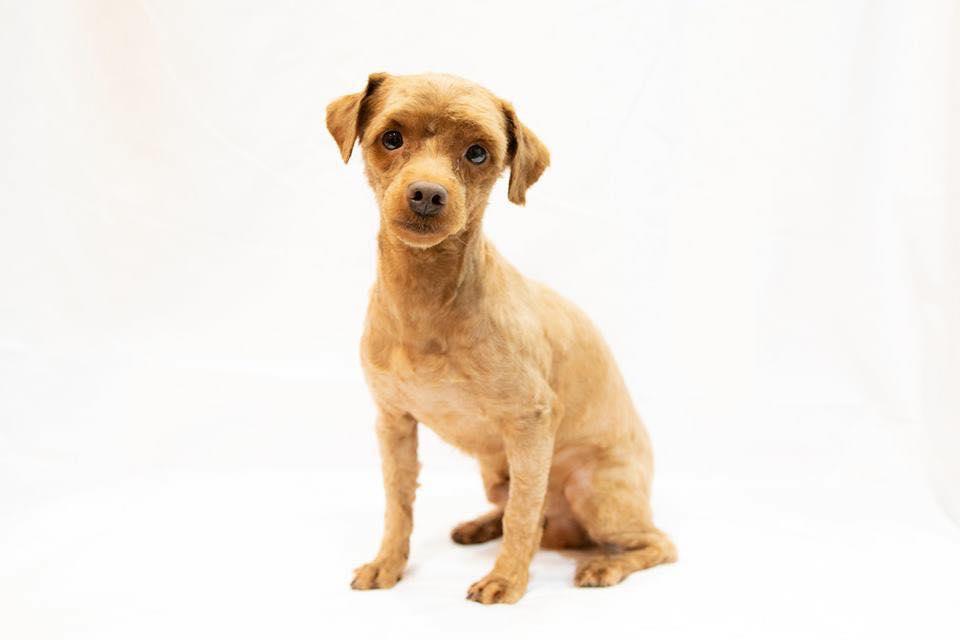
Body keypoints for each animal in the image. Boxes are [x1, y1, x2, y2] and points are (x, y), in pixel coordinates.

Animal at [326, 73, 676, 604]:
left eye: (477, 153)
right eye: (391, 138)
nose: (427, 194)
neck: (427, 302)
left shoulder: (531, 422)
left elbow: (523, 515)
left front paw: (507, 579)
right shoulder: (394, 424)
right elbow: (398, 506)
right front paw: (388, 564)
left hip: (593, 490)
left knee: (654, 542)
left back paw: (602, 565)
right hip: (498, 475)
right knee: (531, 516)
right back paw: (481, 526)